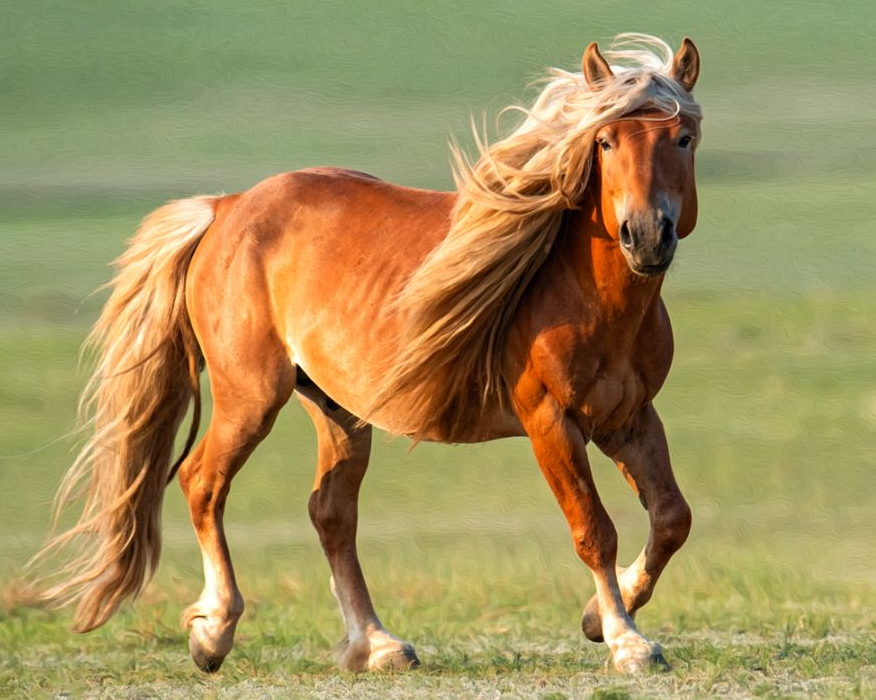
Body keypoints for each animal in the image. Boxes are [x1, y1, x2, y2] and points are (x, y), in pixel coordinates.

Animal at [32, 34, 704, 680]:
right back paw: (214, 632)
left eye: (684, 137)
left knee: (331, 514)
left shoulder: (628, 418)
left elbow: (672, 517)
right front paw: (626, 642)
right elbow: (594, 530)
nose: (646, 235)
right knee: (204, 482)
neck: (587, 295)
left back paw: (376, 645)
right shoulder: (551, 423)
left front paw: (600, 615)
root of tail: (226, 207)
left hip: (338, 409)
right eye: (605, 140)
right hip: (252, 396)